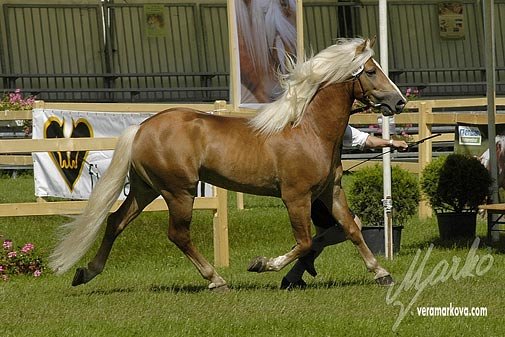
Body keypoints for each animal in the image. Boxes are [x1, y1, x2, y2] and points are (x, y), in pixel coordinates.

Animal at [49, 36, 406, 288]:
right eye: (371, 71)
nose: (400, 101)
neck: (308, 129)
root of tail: (142, 127)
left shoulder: (330, 191)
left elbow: (351, 229)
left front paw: (381, 273)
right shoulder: (296, 197)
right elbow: (304, 242)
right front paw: (262, 264)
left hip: (144, 189)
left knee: (115, 222)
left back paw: (86, 272)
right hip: (179, 192)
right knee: (178, 235)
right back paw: (216, 280)